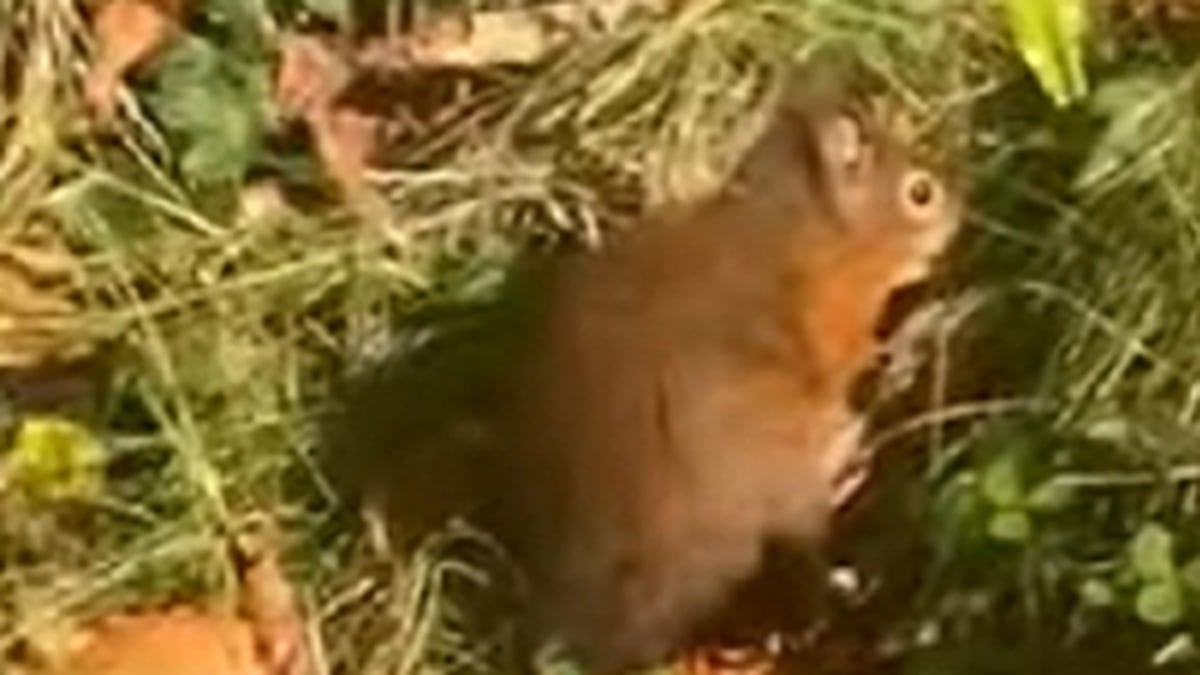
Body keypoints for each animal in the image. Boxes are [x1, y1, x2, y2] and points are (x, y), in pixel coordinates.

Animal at [320, 77, 962, 674]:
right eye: (920, 192)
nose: (960, 213)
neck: (800, 229)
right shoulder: (833, 328)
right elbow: (856, 356)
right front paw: (917, 323)